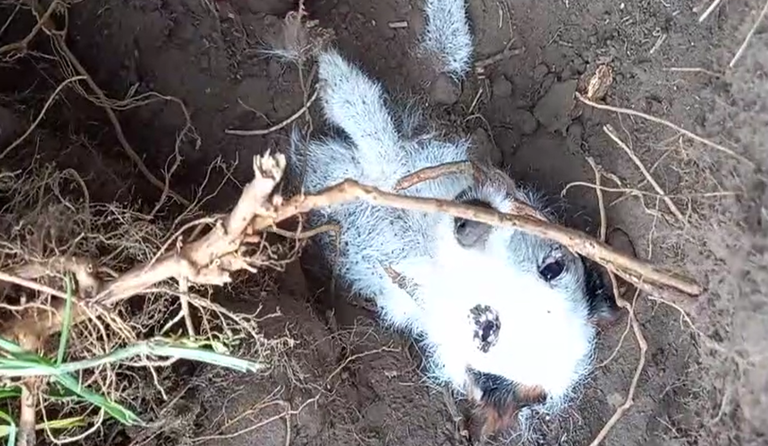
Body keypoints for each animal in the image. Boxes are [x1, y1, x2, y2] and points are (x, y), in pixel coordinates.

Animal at [282, 0, 621, 439]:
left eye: (487, 329)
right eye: (552, 267)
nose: (471, 223)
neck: (427, 237)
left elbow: (374, 135)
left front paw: (334, 76)